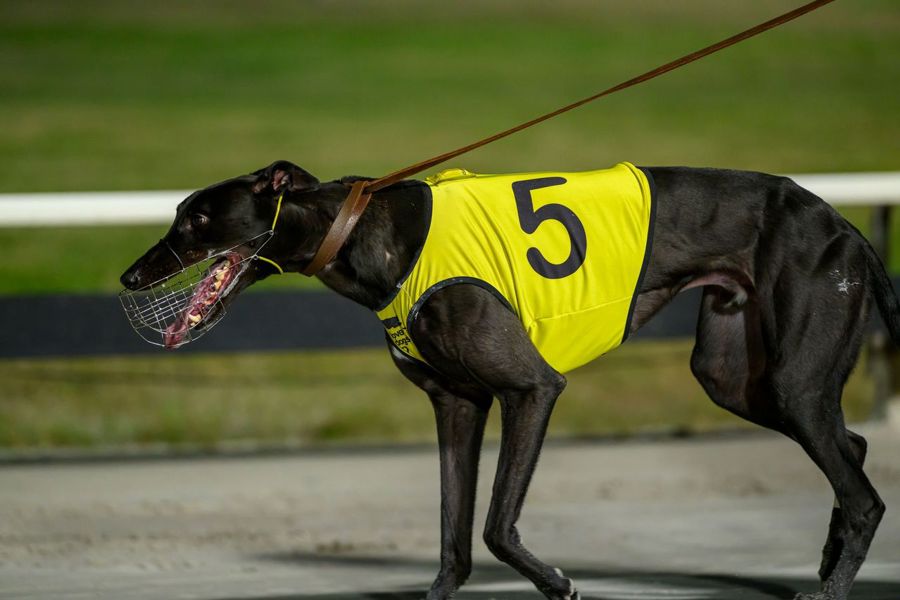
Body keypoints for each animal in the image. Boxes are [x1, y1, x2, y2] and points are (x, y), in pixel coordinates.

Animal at [121, 160, 898, 600]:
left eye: (196, 218)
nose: (128, 277)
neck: (366, 234)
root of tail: (842, 223)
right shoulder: (455, 404)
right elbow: (453, 535)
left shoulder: (531, 389)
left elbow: (495, 525)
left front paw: (557, 582)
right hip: (735, 375)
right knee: (851, 450)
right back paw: (827, 559)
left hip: (790, 374)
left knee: (863, 495)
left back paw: (831, 584)